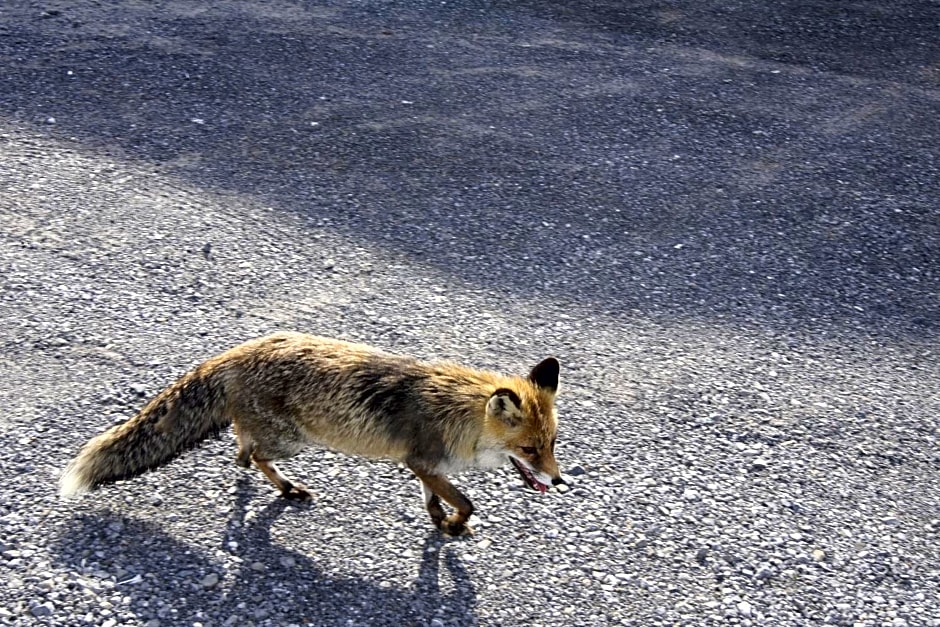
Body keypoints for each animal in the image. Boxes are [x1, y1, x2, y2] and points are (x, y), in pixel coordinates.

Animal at [60, 334, 564, 536]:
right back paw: (285, 487)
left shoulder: (426, 466)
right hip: (292, 441)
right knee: (254, 451)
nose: (560, 482)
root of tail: (238, 350)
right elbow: (466, 501)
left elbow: (434, 500)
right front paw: (456, 524)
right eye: (529, 449)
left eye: (553, 445)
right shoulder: (421, 461)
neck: (457, 415)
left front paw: (442, 521)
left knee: (242, 443)